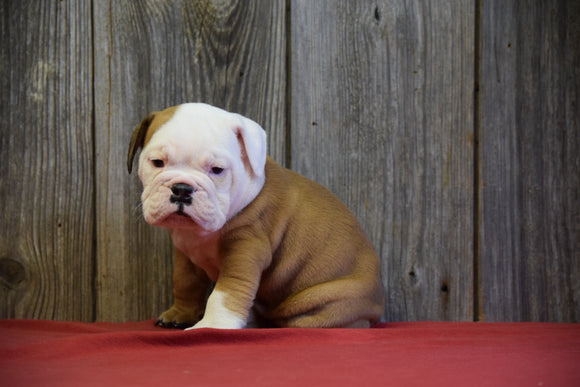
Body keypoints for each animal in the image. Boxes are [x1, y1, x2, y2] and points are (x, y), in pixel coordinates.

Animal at [127, 104, 382, 330]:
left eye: (217, 170)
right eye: (157, 162)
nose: (182, 189)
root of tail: (377, 305)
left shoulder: (245, 249)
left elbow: (226, 291)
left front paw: (212, 325)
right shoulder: (185, 253)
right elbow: (185, 282)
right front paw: (180, 314)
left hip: (326, 300)